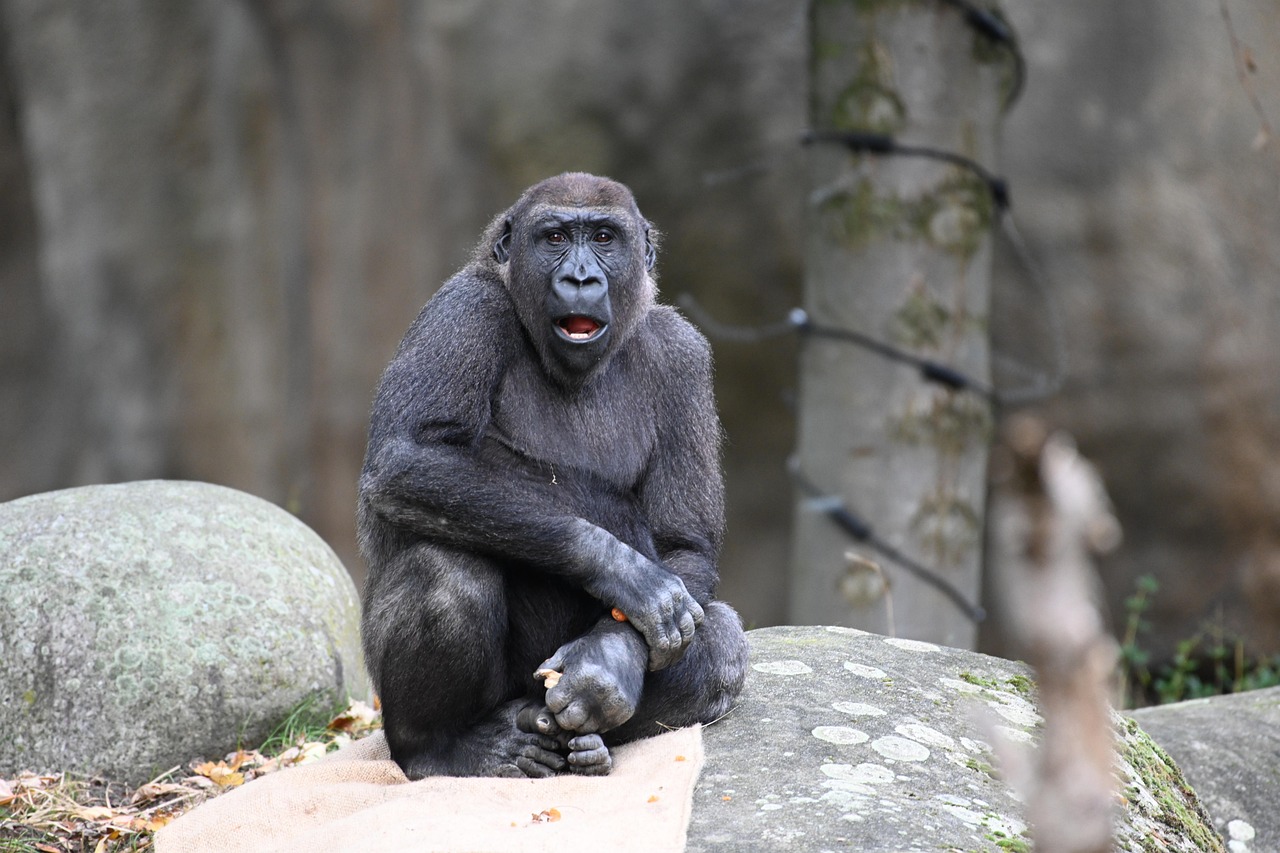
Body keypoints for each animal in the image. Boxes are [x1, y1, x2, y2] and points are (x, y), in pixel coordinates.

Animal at [357, 172, 748, 779]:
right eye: (556, 237)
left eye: (605, 238)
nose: (581, 277)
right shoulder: (464, 309)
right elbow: (409, 458)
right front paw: (619, 569)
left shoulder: (683, 356)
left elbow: (684, 545)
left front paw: (606, 665)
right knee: (446, 571)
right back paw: (440, 747)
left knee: (722, 645)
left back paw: (582, 744)